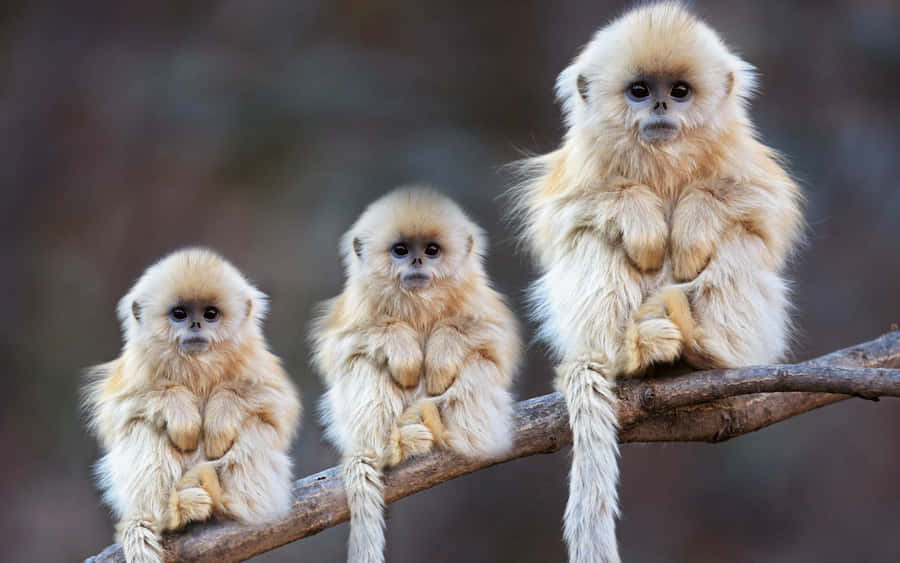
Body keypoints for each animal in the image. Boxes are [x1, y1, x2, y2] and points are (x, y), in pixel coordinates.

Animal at [83, 248, 301, 563]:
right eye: (179, 314)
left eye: (210, 314)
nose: (195, 324)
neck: (197, 366)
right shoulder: (134, 371)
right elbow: (121, 409)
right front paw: (183, 418)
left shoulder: (258, 365)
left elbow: (273, 404)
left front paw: (218, 423)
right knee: (142, 427)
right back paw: (173, 512)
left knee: (255, 425)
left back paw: (232, 503)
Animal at [311, 187, 520, 563]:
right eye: (401, 250)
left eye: (432, 250)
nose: (417, 262)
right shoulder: (358, 306)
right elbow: (341, 347)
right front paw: (404, 351)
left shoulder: (478, 300)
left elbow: (493, 341)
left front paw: (440, 353)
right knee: (364, 363)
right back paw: (394, 446)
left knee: (476, 363)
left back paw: (465, 435)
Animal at [510, 3, 804, 562]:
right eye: (640, 90)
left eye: (681, 90)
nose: (663, 105)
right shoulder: (579, 168)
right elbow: (564, 218)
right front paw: (643, 220)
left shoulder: (743, 161)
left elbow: (763, 211)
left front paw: (690, 224)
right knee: (594, 239)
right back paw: (634, 352)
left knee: (739, 240)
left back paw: (707, 350)